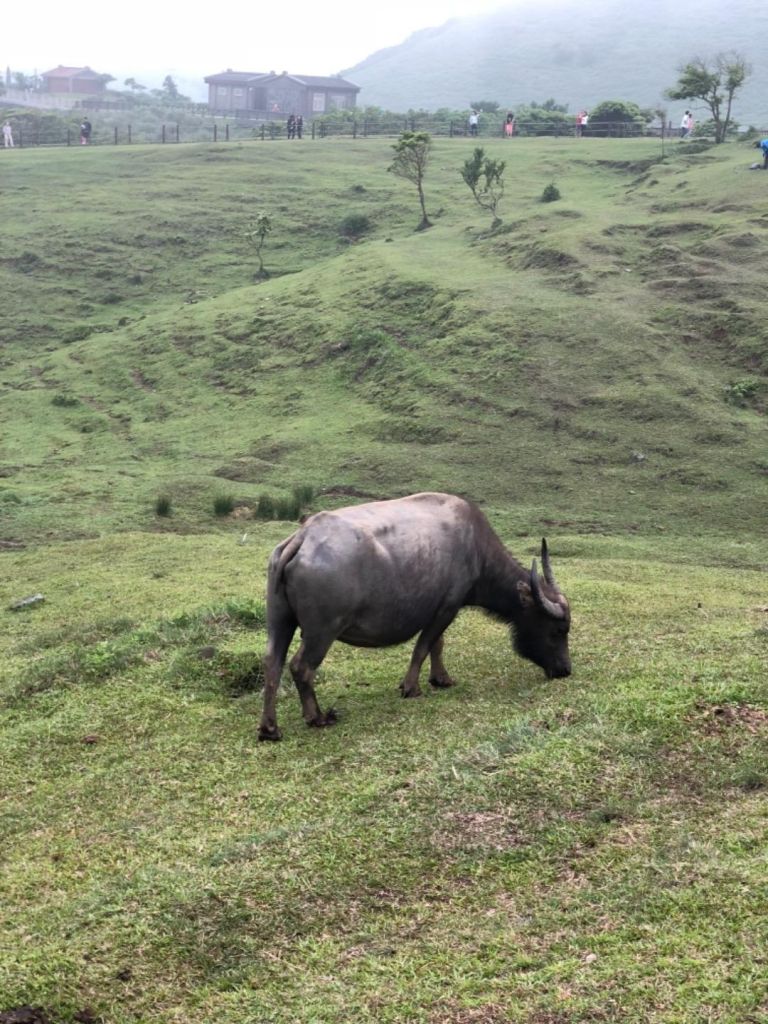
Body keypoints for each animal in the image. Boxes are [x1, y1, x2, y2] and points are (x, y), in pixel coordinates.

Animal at [259, 491, 573, 741]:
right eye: (557, 630)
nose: (565, 670)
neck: (476, 548)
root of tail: (303, 537)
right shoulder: (447, 607)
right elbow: (423, 647)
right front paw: (411, 687)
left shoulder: (440, 609)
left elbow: (437, 645)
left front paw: (441, 679)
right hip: (322, 632)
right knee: (301, 667)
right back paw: (317, 717)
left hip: (279, 622)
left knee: (272, 665)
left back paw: (270, 728)